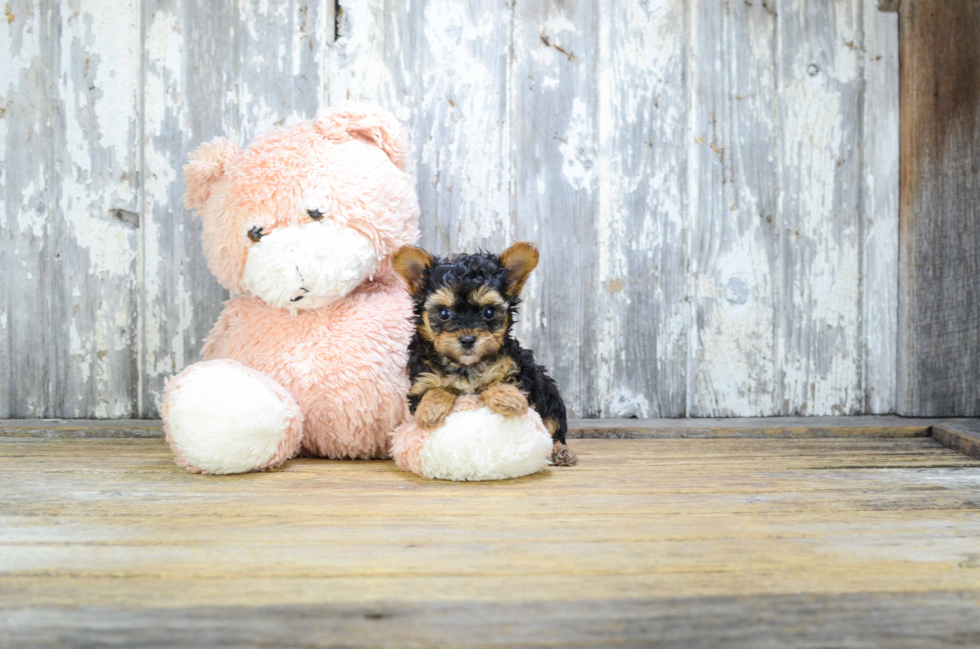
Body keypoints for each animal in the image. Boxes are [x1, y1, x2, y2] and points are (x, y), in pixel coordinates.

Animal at [392, 243, 580, 466]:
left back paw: (561, 451)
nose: (467, 339)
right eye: (444, 313)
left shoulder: (518, 368)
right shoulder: (421, 379)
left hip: (548, 394)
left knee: (553, 429)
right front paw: (430, 410)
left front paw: (508, 397)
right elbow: (435, 388)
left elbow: (500, 381)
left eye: (488, 312)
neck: (466, 366)